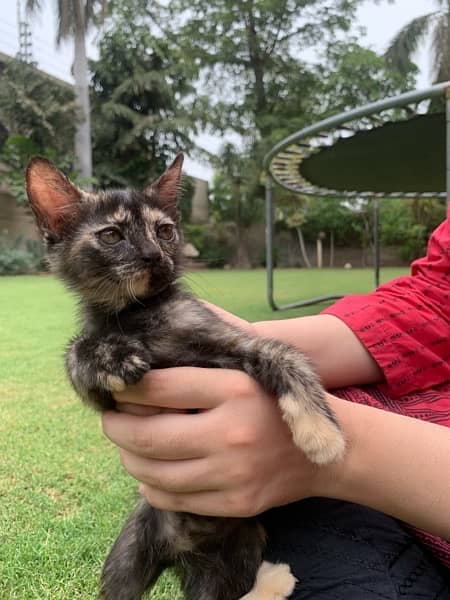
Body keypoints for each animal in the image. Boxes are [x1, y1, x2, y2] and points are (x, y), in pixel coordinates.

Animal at [26, 156, 346, 600]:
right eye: (111, 235)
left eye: (165, 230)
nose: (152, 255)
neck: (140, 314)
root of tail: (181, 553)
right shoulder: (105, 399)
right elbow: (76, 352)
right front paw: (110, 356)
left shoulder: (229, 343)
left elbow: (286, 356)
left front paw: (323, 438)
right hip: (128, 554)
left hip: (241, 541)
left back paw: (274, 578)